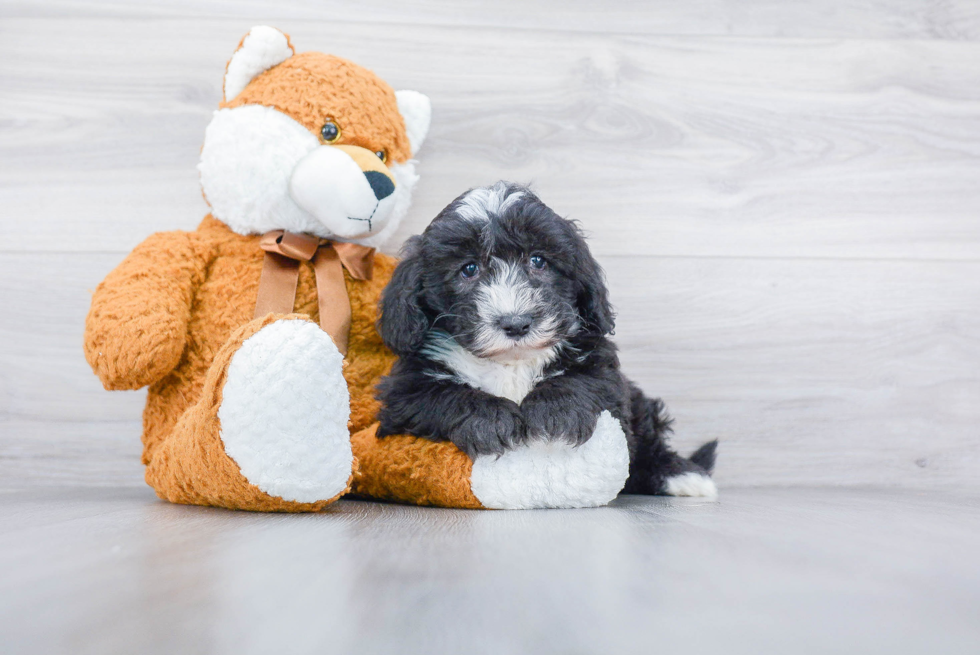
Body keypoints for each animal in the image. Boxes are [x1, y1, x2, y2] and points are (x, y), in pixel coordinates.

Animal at [378, 181, 716, 498]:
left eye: (538, 261)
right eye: (469, 269)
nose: (516, 323)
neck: (510, 363)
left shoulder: (602, 365)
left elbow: (583, 379)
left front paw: (555, 411)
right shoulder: (403, 393)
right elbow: (441, 394)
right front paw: (491, 419)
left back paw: (682, 474)